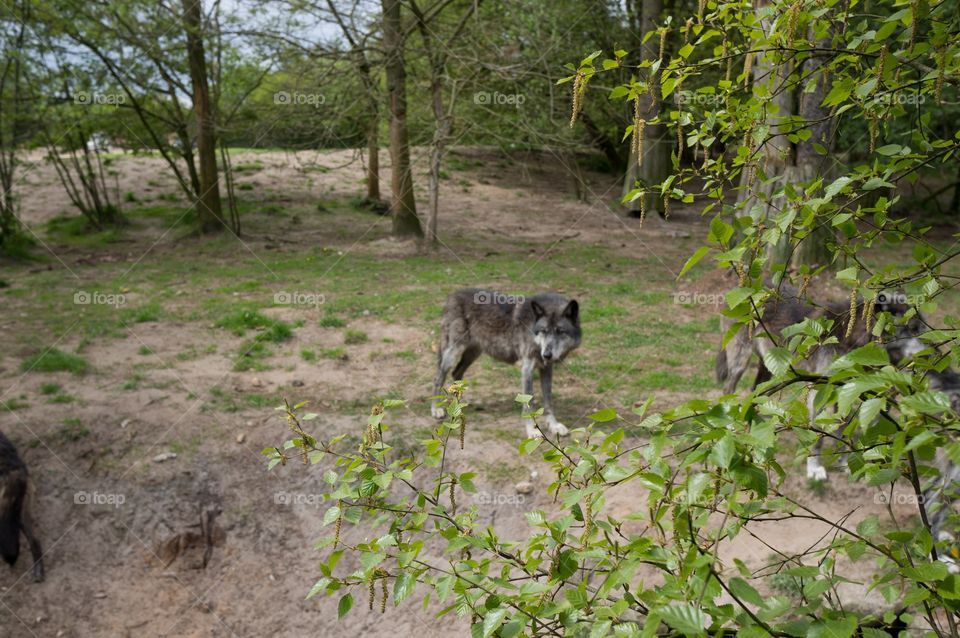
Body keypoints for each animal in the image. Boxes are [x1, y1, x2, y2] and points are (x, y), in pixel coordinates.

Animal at [431, 289, 581, 439]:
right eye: (544, 331)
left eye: (560, 332)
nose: (547, 354)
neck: (532, 324)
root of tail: (452, 295)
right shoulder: (527, 370)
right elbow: (529, 403)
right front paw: (532, 431)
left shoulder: (547, 369)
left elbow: (548, 402)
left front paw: (554, 425)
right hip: (452, 354)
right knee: (438, 378)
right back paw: (435, 408)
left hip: (472, 354)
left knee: (456, 372)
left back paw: (459, 404)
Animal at [715, 287, 927, 480]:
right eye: (913, 329)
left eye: (923, 329)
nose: (932, 352)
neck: (851, 339)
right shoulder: (820, 392)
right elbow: (817, 435)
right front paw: (815, 468)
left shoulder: (846, 392)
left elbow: (842, 426)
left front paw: (845, 460)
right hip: (740, 363)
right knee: (728, 388)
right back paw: (731, 424)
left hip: (770, 367)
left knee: (756, 389)